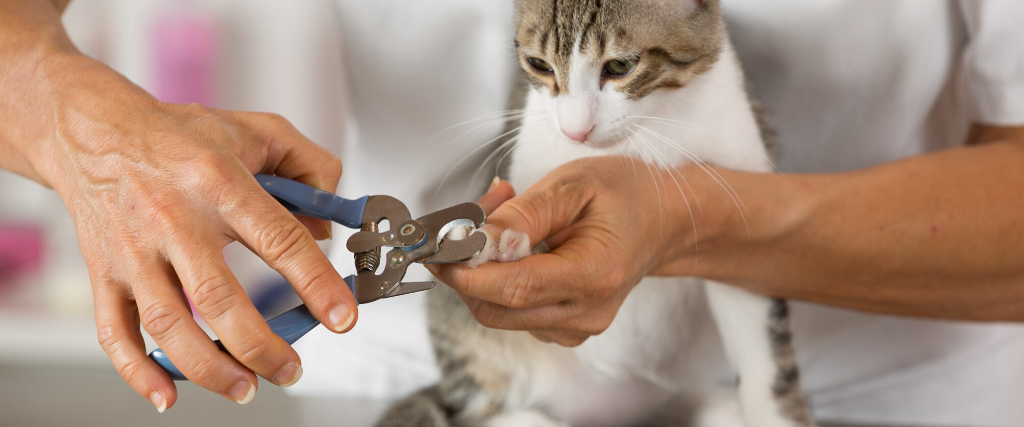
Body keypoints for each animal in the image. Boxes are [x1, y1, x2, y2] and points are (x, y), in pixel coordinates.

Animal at [380, 0, 811, 425]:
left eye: (620, 66)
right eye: (538, 64)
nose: (575, 131)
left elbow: (764, 354)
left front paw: (777, 412)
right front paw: (494, 244)